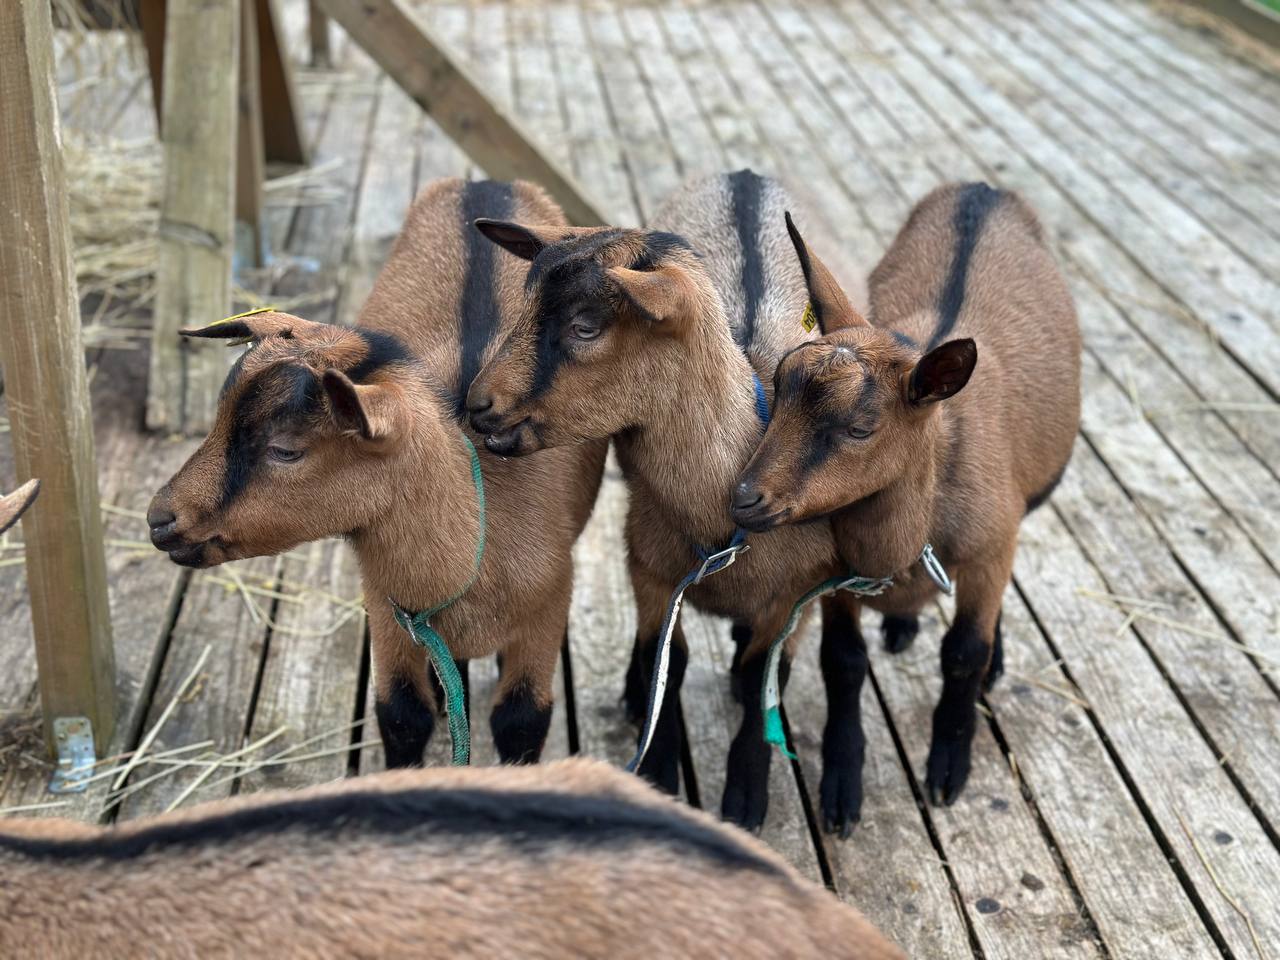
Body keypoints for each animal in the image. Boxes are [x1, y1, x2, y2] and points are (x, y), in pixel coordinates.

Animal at [147, 179, 606, 768]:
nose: (161, 519)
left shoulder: (546, 617)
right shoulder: (390, 616)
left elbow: (522, 721)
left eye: (286, 450)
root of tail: (482, 184)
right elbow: (401, 715)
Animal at [463, 172, 870, 834]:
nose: (477, 406)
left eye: (586, 325)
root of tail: (746, 175)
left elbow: (763, 679)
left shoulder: (797, 594)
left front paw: (746, 797)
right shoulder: (651, 566)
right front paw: (656, 769)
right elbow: (667, 663)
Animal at [732, 184, 1080, 808]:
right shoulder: (838, 573)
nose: (745, 498)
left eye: (860, 428)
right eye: (777, 385)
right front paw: (842, 783)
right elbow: (843, 661)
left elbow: (964, 654)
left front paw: (948, 768)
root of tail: (983, 191)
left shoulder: (990, 546)